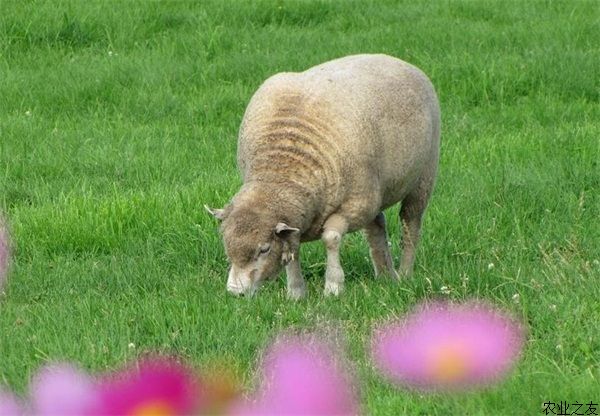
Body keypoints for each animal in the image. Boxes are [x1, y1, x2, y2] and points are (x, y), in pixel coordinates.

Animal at [206, 53, 440, 298]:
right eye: (227, 246)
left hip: (422, 176)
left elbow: (331, 239)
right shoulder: (296, 220)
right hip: (373, 193)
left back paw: (404, 274)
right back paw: (386, 276)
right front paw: (296, 293)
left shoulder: (352, 206)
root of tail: (395, 59)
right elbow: (293, 250)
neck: (280, 171)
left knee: (410, 223)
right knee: (377, 227)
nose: (236, 293)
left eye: (264, 250)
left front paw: (333, 287)